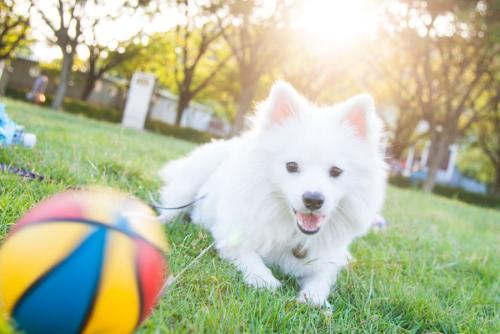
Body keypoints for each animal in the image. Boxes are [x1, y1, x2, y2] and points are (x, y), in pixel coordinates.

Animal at [159, 80, 386, 306]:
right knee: (171, 208)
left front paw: (315, 297)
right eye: (291, 166)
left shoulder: (325, 261)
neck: (293, 234)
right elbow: (250, 256)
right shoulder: (231, 236)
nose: (313, 200)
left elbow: (323, 279)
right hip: (190, 183)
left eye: (336, 171)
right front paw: (264, 279)